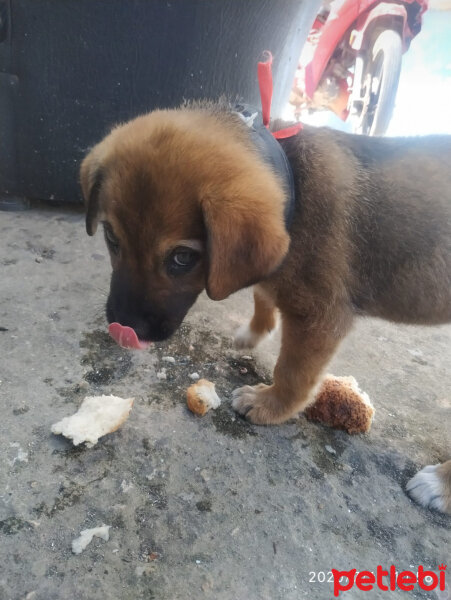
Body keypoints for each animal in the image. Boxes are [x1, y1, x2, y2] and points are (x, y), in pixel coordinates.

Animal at [81, 104, 451, 510]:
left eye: (182, 258)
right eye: (111, 237)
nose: (123, 329)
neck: (294, 186)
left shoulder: (320, 316)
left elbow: (293, 371)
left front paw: (271, 404)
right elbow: (262, 294)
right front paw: (253, 333)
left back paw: (439, 484)